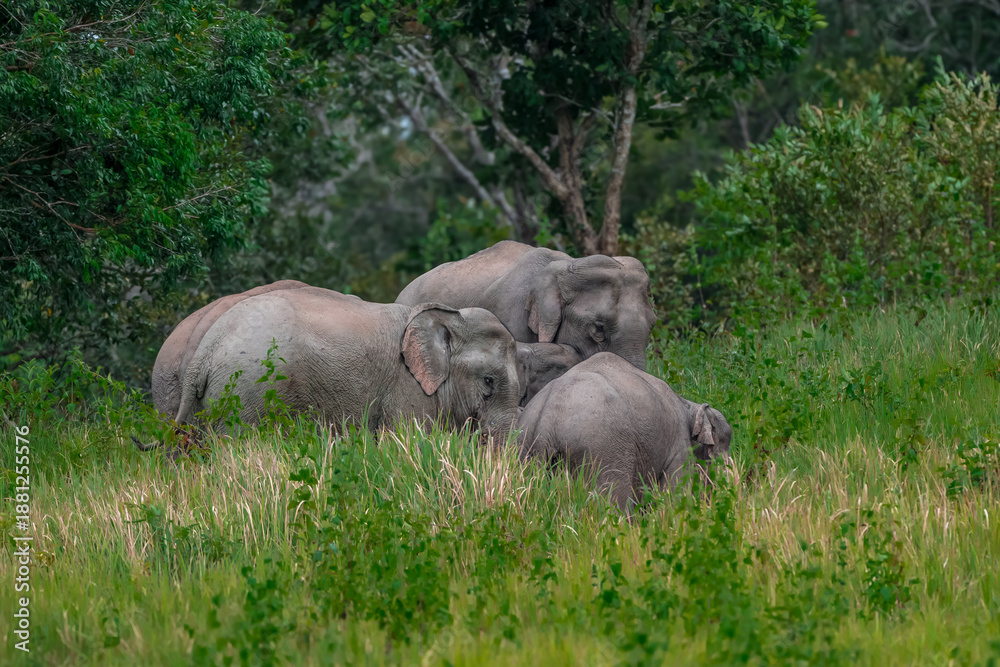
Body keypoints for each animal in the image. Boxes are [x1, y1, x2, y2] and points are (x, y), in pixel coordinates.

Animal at [517, 352, 733, 514]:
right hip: (604, 450)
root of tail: (547, 418)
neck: (688, 404)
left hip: (525, 448)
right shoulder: (680, 448)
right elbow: (674, 494)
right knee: (613, 499)